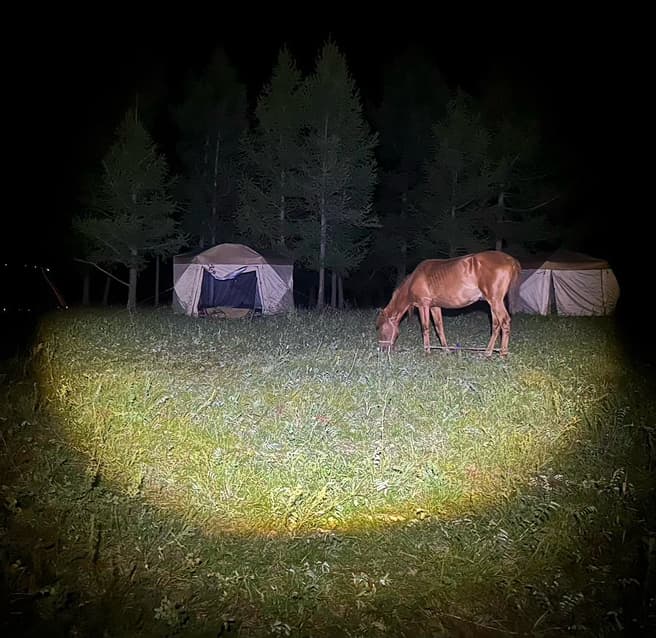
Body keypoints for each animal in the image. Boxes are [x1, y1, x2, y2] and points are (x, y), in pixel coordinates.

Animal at [376, 250, 521, 357]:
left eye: (382, 329)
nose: (382, 349)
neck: (413, 280)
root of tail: (510, 260)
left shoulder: (423, 305)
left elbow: (425, 327)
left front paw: (427, 350)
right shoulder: (434, 307)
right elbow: (439, 327)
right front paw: (445, 350)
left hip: (495, 301)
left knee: (505, 321)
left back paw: (502, 354)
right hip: (493, 303)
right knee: (496, 325)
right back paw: (488, 352)